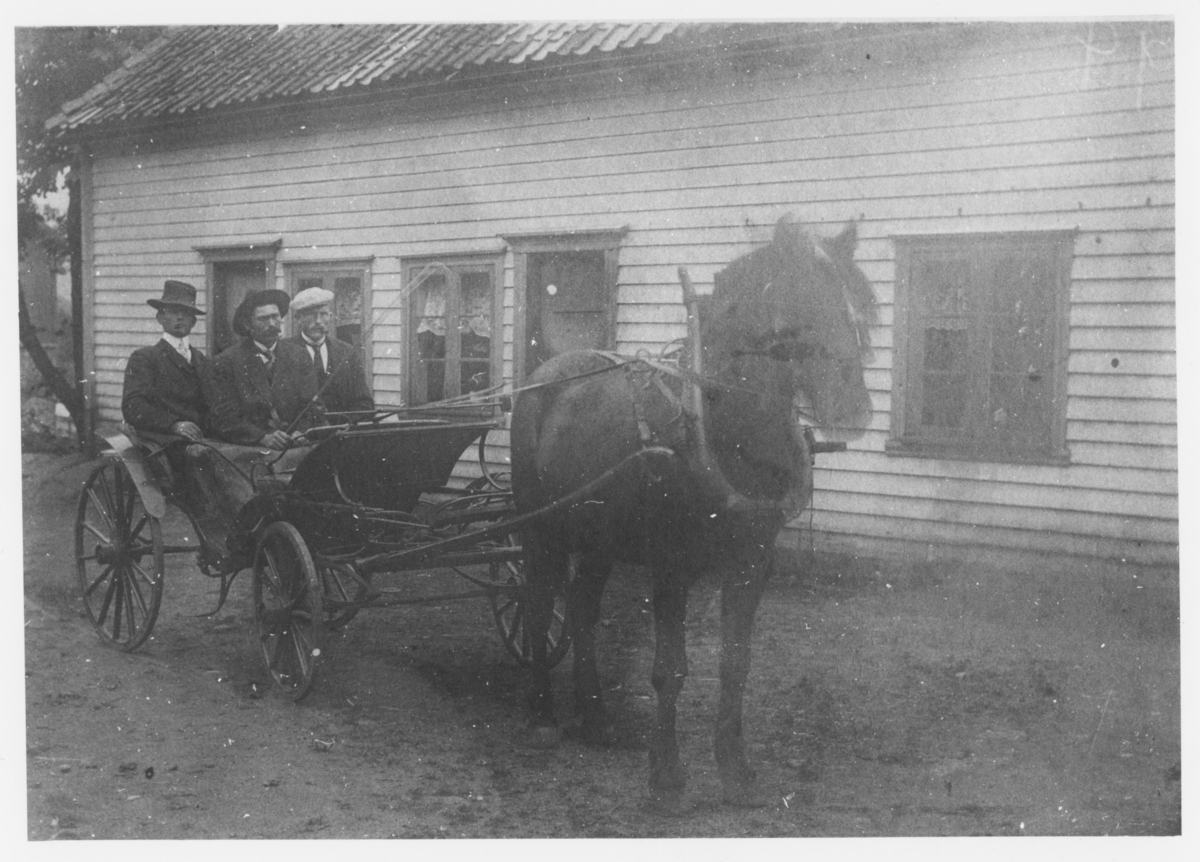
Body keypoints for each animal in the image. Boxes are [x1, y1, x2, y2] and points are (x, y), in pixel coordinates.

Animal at [511, 217, 878, 816]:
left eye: (859, 305)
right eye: (799, 305)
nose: (853, 409)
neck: (722, 429)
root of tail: (545, 375)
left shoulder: (753, 563)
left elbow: (735, 663)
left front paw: (735, 771)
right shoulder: (671, 565)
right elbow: (670, 669)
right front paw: (666, 777)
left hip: (599, 535)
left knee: (583, 608)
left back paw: (595, 717)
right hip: (542, 527)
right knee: (541, 607)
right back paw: (542, 715)